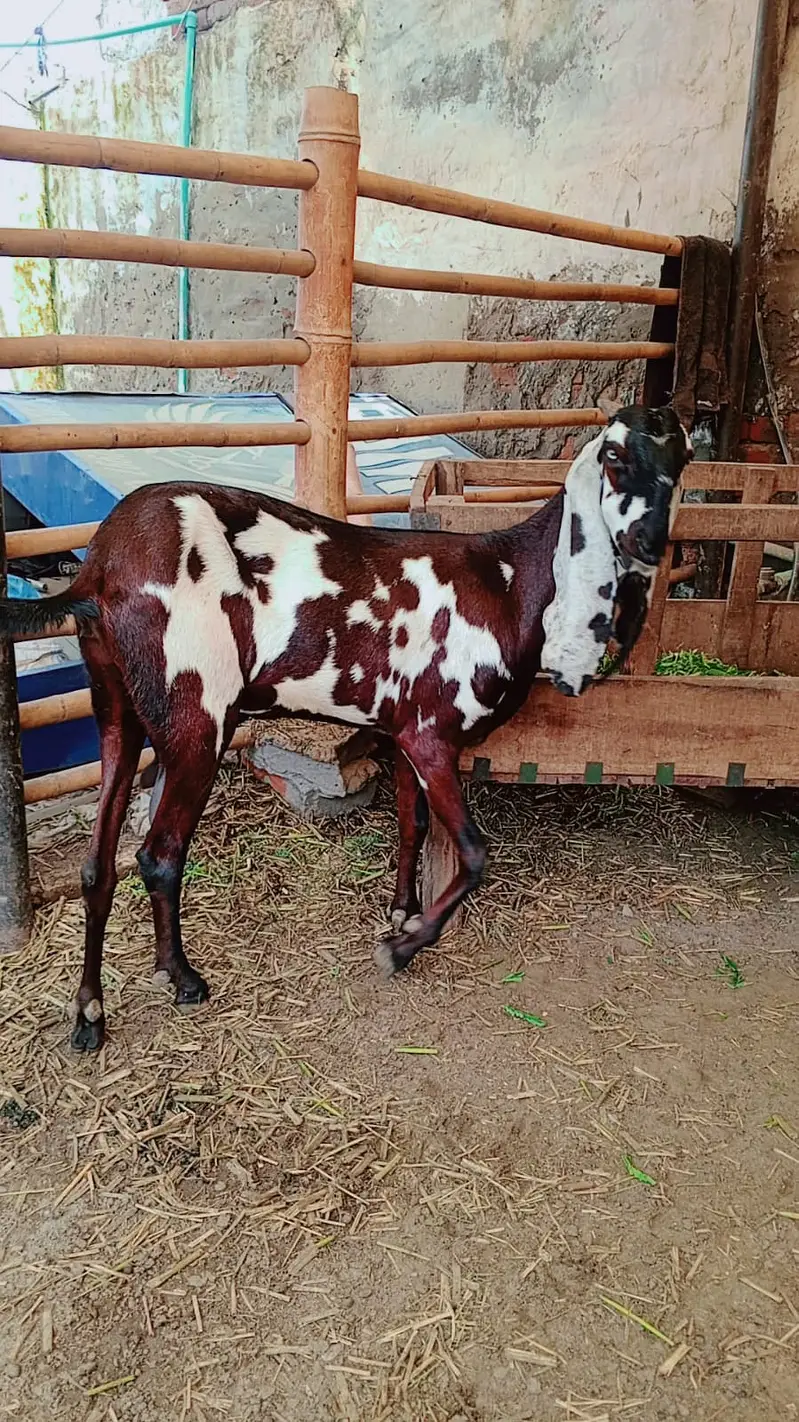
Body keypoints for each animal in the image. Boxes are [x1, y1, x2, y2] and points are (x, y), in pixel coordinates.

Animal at [0, 404, 692, 1052]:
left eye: (683, 459)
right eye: (614, 457)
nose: (651, 541)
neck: (508, 581)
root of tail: (98, 567)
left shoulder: (405, 730)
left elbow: (413, 825)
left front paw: (402, 913)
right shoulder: (431, 735)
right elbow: (473, 853)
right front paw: (403, 947)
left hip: (117, 709)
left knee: (98, 864)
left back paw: (89, 1017)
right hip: (198, 716)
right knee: (158, 855)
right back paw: (183, 979)